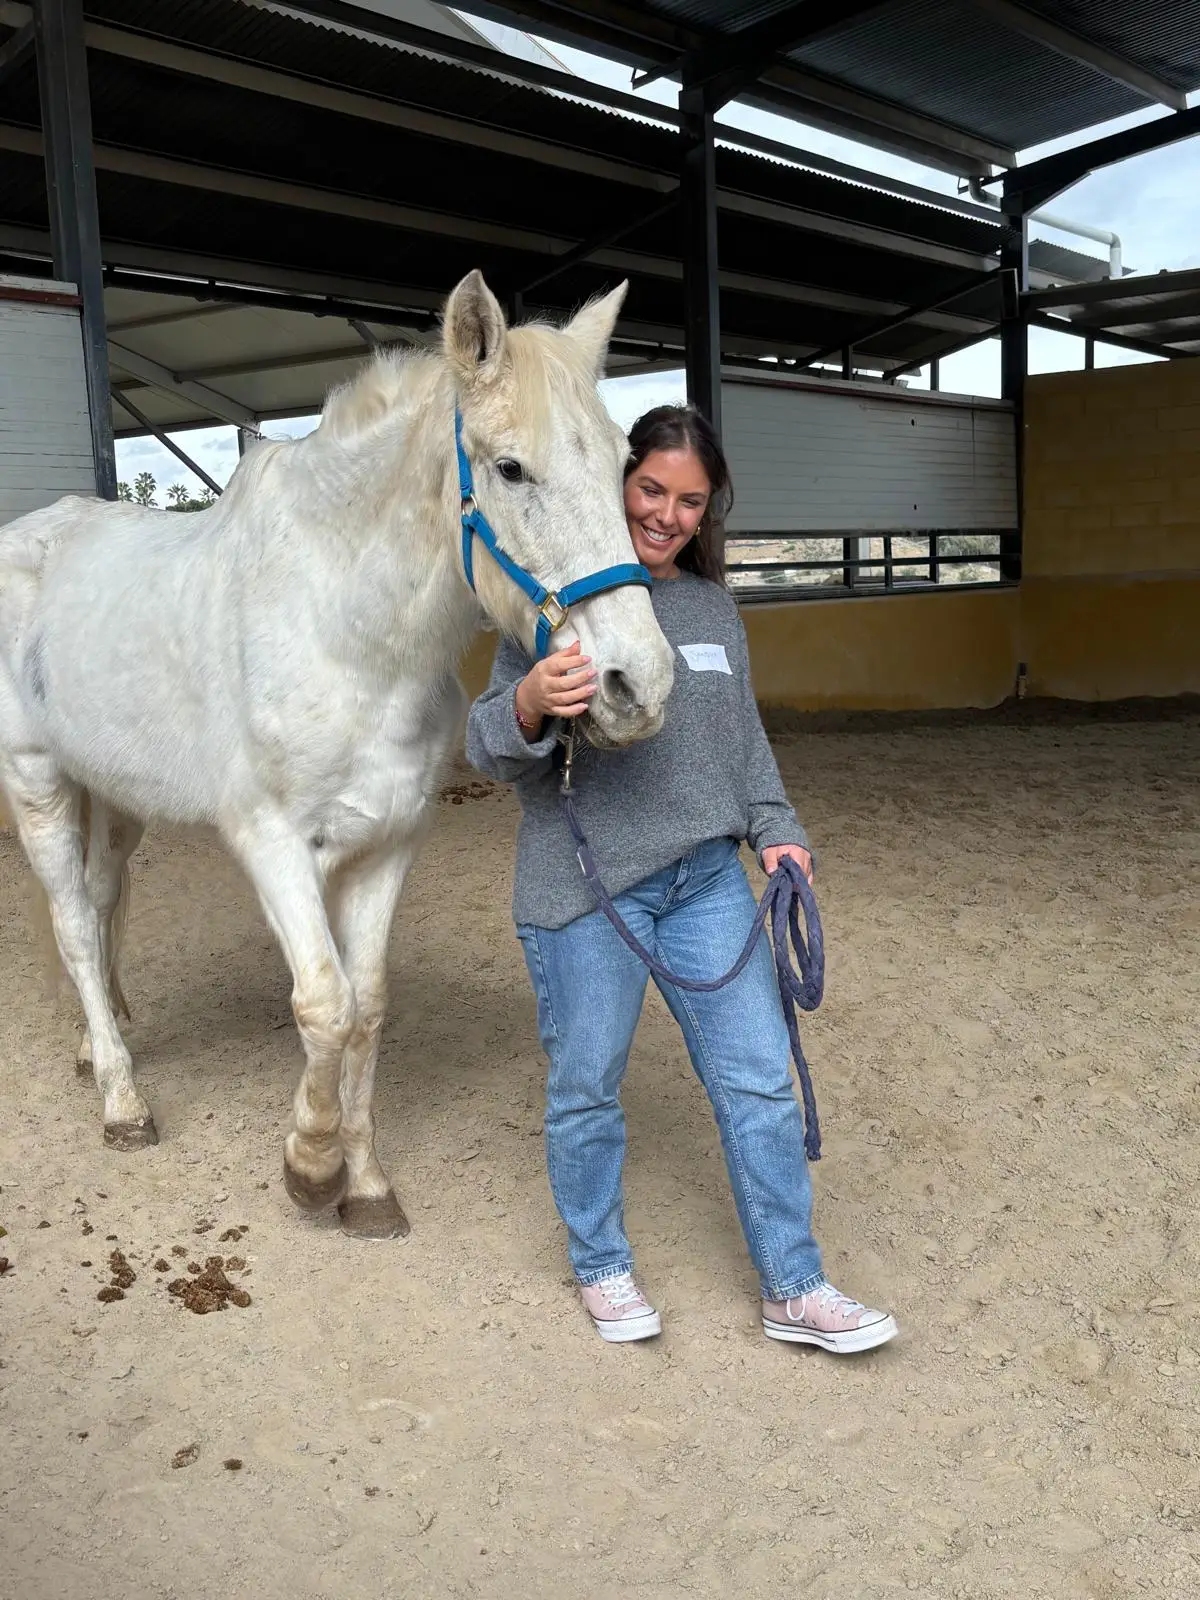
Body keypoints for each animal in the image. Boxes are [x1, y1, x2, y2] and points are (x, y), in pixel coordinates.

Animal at [0, 270, 675, 1239]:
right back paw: (124, 1103)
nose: (639, 684)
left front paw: (365, 1185)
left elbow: (369, 1008)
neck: (343, 629)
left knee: (97, 905)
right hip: (38, 780)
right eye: (510, 469)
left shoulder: (388, 843)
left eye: (623, 466)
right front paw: (310, 1168)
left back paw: (104, 1047)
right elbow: (324, 1003)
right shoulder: (273, 843)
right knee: (70, 925)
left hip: (118, 798)